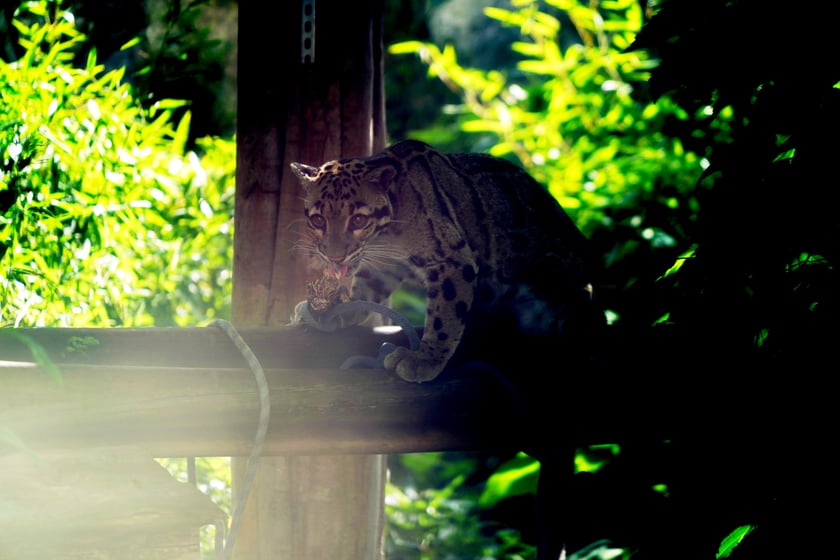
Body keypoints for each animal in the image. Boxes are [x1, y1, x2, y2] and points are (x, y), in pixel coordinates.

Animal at [288, 142, 596, 382]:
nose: (334, 256)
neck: (384, 236)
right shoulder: (384, 267)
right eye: (318, 220)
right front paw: (339, 311)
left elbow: (444, 316)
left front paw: (425, 359)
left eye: (358, 220)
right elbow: (364, 293)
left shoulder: (453, 259)